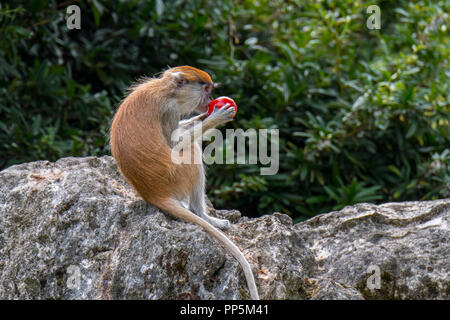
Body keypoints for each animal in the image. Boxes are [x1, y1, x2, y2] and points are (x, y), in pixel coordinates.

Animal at [109, 65, 260, 300]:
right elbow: (174, 145)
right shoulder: (169, 110)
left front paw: (204, 115)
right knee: (192, 151)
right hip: (177, 174)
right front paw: (215, 117)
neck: (166, 89)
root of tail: (151, 191)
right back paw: (204, 216)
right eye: (206, 89)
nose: (210, 99)